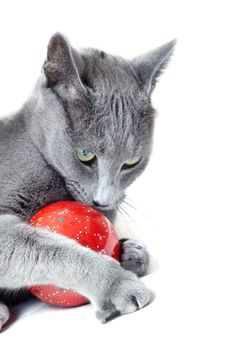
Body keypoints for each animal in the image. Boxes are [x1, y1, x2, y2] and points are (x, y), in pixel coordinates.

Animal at [0, 31, 175, 330]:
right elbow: (48, 249)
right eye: (85, 155)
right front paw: (116, 284)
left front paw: (131, 251)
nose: (103, 201)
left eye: (132, 162)